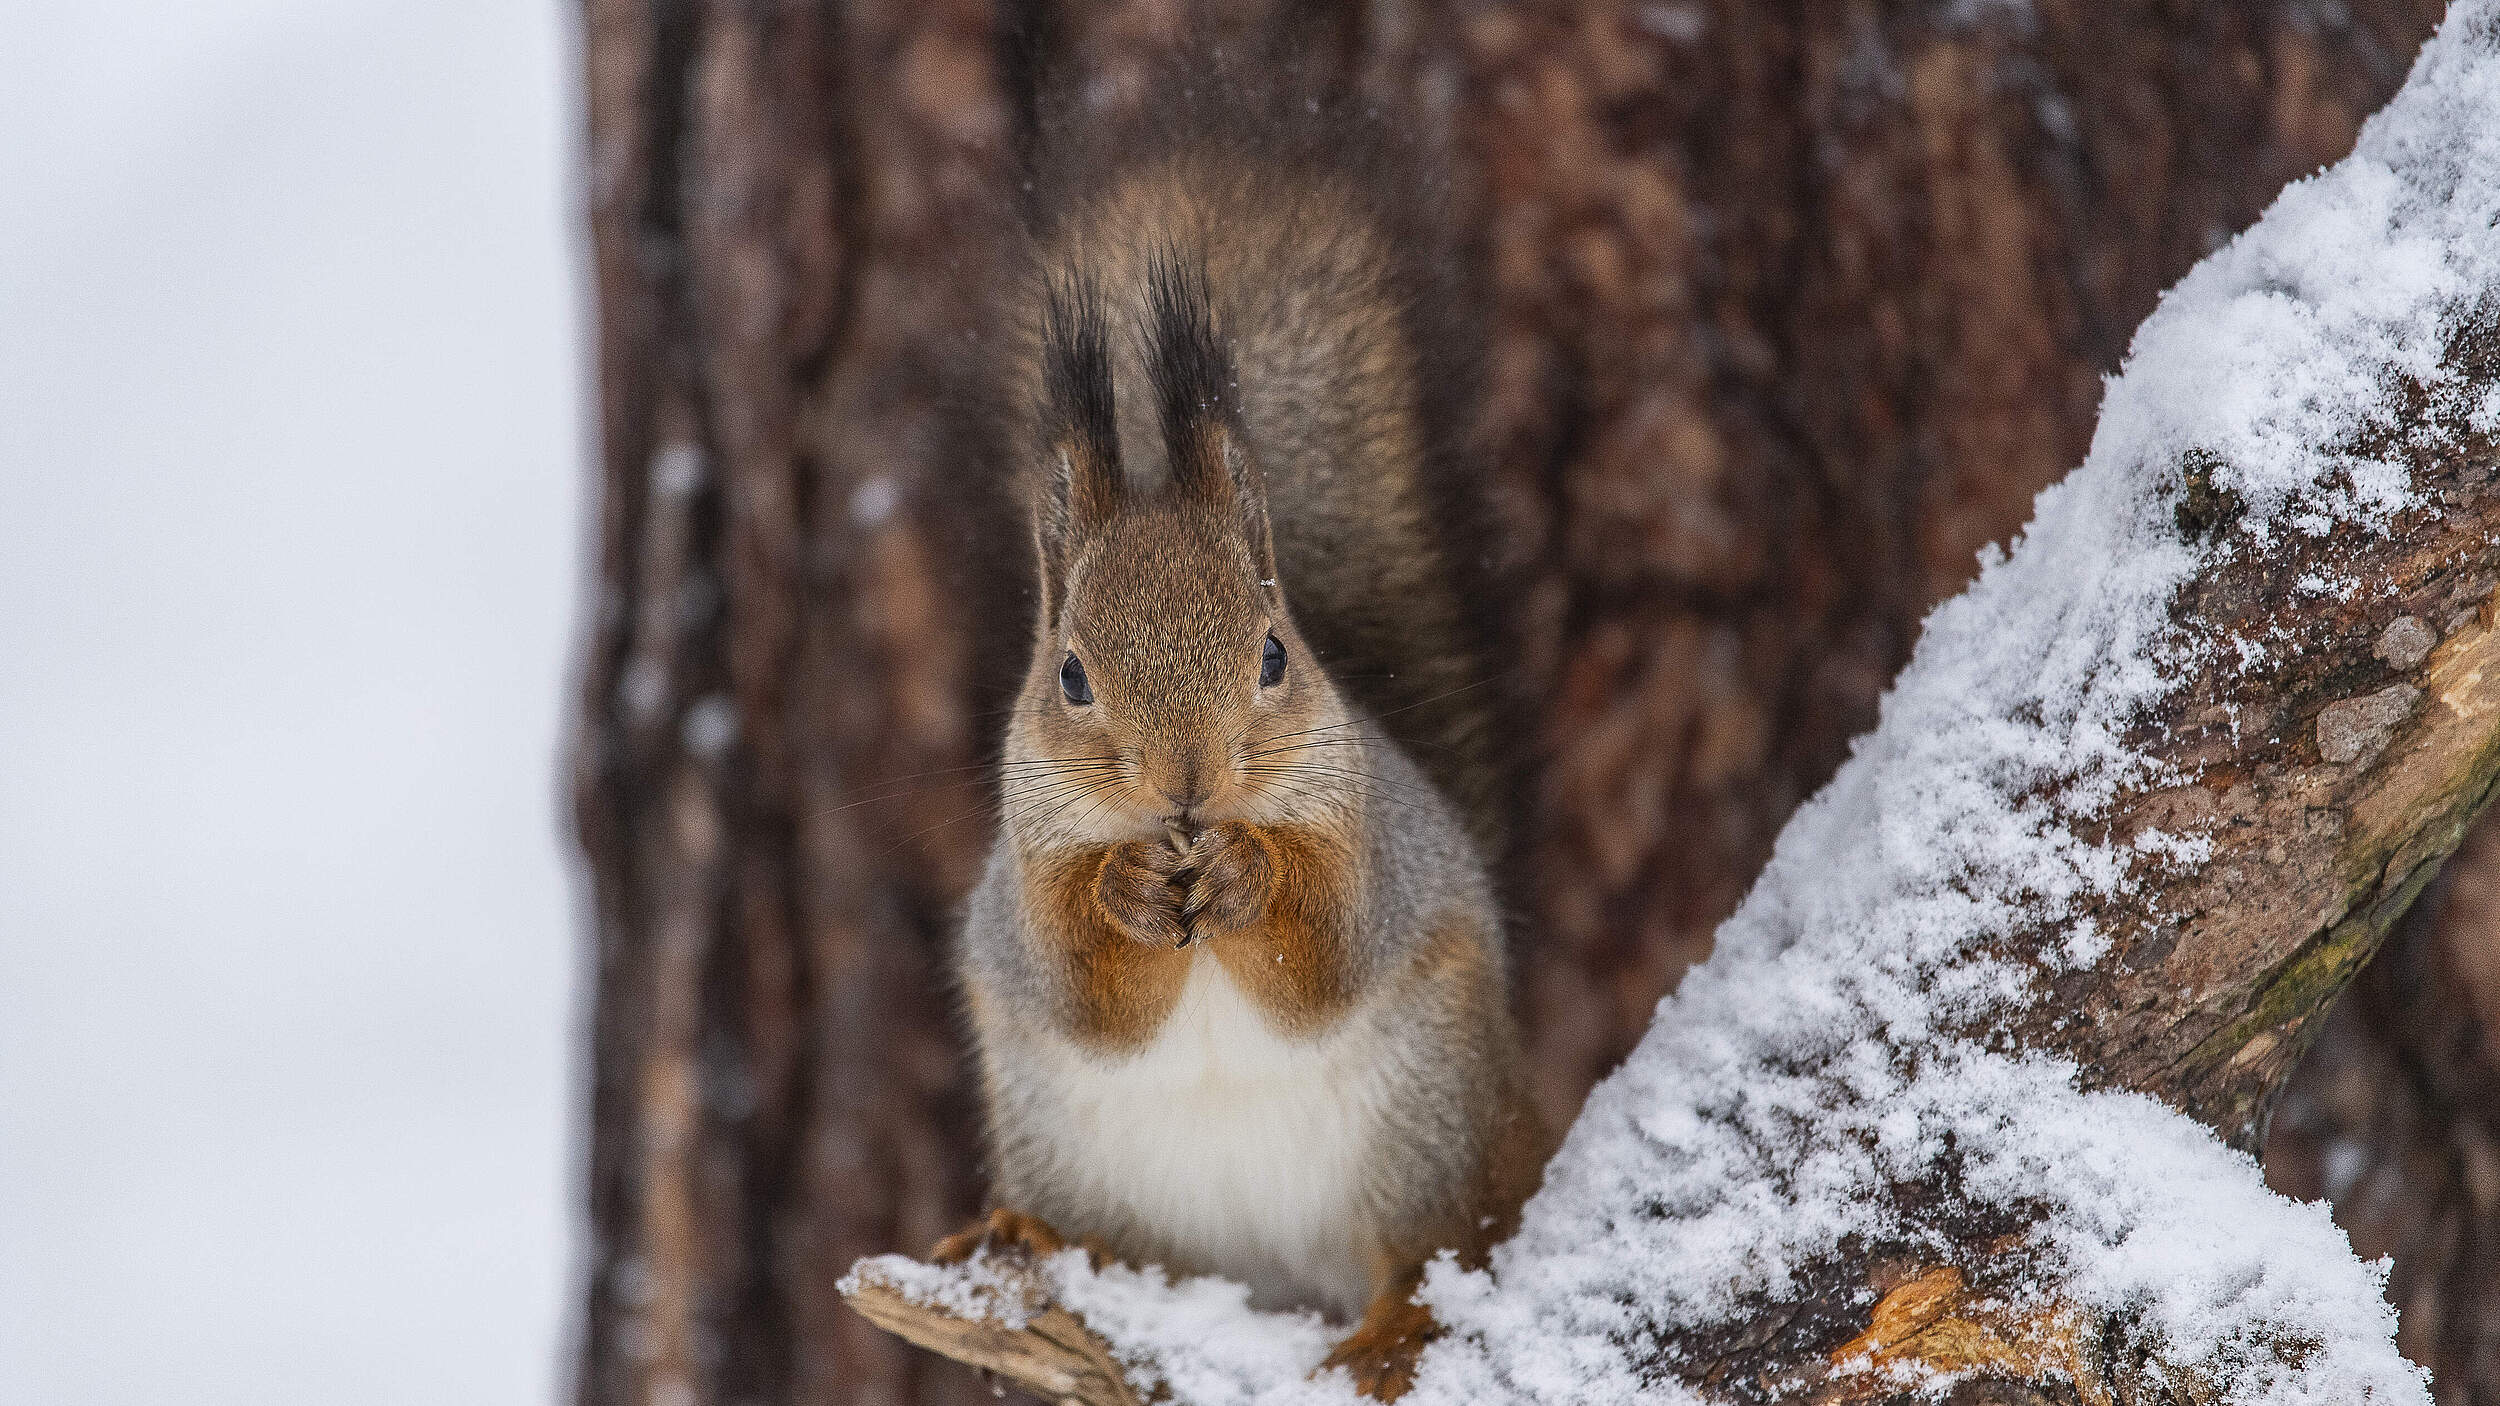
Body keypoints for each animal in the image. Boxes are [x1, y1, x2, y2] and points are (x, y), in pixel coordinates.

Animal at [934, 67, 1548, 1401]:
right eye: (1069, 674)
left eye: (1273, 653)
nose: (1188, 783)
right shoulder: (1023, 878)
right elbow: (1084, 986)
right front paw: (1124, 888)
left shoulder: (1372, 843)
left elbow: (1318, 954)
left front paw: (1248, 872)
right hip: (1073, 1152)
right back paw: (1022, 1234)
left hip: (1428, 1124)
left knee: (1435, 1245)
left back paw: (1393, 1329)